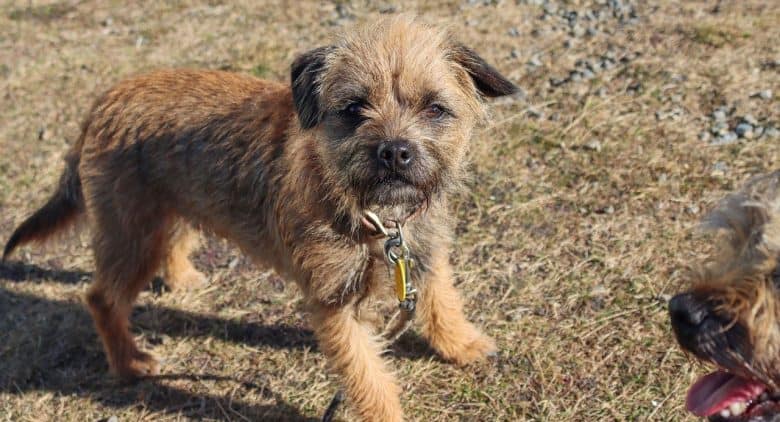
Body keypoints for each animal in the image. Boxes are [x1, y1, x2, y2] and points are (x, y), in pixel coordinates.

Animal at [1, 15, 516, 418]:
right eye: (354, 109)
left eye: (435, 108)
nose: (394, 151)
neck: (376, 216)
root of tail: (102, 103)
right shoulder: (335, 307)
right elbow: (367, 376)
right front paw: (386, 413)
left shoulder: (422, 252)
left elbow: (441, 299)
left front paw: (462, 344)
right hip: (131, 237)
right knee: (101, 299)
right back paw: (129, 363)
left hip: (170, 210)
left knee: (169, 243)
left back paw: (182, 278)